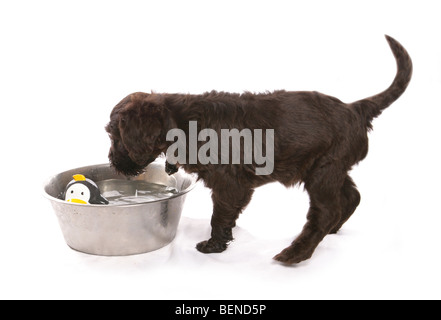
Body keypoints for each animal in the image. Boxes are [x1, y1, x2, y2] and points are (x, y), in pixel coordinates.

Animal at [105, 35, 410, 264]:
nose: (112, 163)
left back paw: (296, 252)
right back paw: (332, 231)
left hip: (324, 171)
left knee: (325, 211)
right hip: (330, 168)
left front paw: (214, 245)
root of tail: (355, 109)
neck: (182, 122)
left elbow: (220, 215)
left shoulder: (229, 184)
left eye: (114, 136)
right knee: (351, 196)